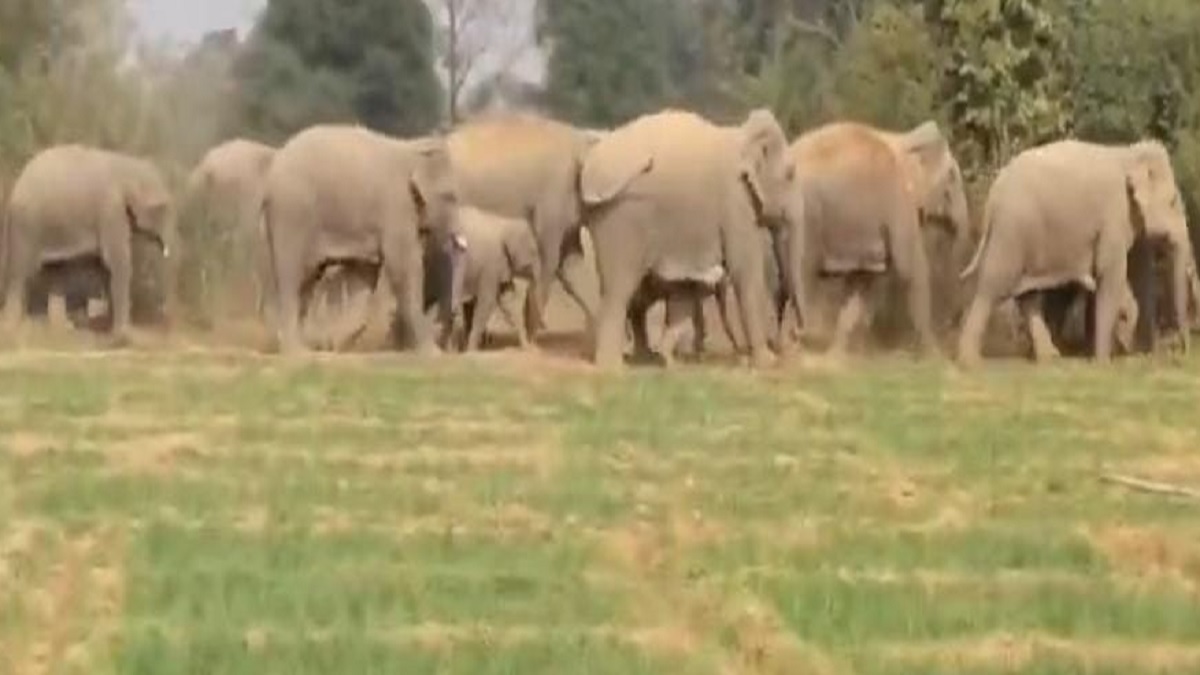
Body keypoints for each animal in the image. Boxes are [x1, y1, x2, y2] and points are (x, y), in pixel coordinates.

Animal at [3, 145, 173, 343]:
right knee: (19, 272)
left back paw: (62, 329)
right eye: (162, 208)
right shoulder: (110, 210)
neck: (127, 164)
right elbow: (116, 262)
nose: (165, 316)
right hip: (26, 224)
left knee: (57, 271)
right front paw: (123, 335)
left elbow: (103, 265)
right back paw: (11, 329)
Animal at [260, 124, 459, 354]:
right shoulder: (396, 206)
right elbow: (404, 266)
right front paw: (433, 353)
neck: (413, 147)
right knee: (293, 275)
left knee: (308, 279)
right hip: (292, 213)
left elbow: (364, 275)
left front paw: (336, 344)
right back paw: (297, 351)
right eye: (449, 196)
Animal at [579, 108, 794, 369]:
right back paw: (613, 366)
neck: (742, 134)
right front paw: (767, 363)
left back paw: (642, 358)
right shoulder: (735, 201)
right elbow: (745, 269)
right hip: (625, 215)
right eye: (791, 175)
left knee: (623, 290)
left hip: (609, 216)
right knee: (620, 287)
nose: (787, 346)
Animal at [783, 121, 970, 358]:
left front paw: (836, 357)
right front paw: (935, 356)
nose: (953, 321)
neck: (904, 139)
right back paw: (795, 348)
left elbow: (862, 280)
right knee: (801, 274)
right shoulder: (898, 201)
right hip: (806, 217)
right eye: (952, 177)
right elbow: (910, 268)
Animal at [958, 139, 1193, 365]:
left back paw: (1050, 357)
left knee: (1026, 295)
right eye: (1173, 201)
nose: (1182, 352)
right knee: (993, 285)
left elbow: (1139, 273)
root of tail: (994, 193)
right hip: (1012, 230)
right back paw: (969, 361)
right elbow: (1110, 273)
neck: (1130, 153)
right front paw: (1102, 363)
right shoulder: (1114, 217)